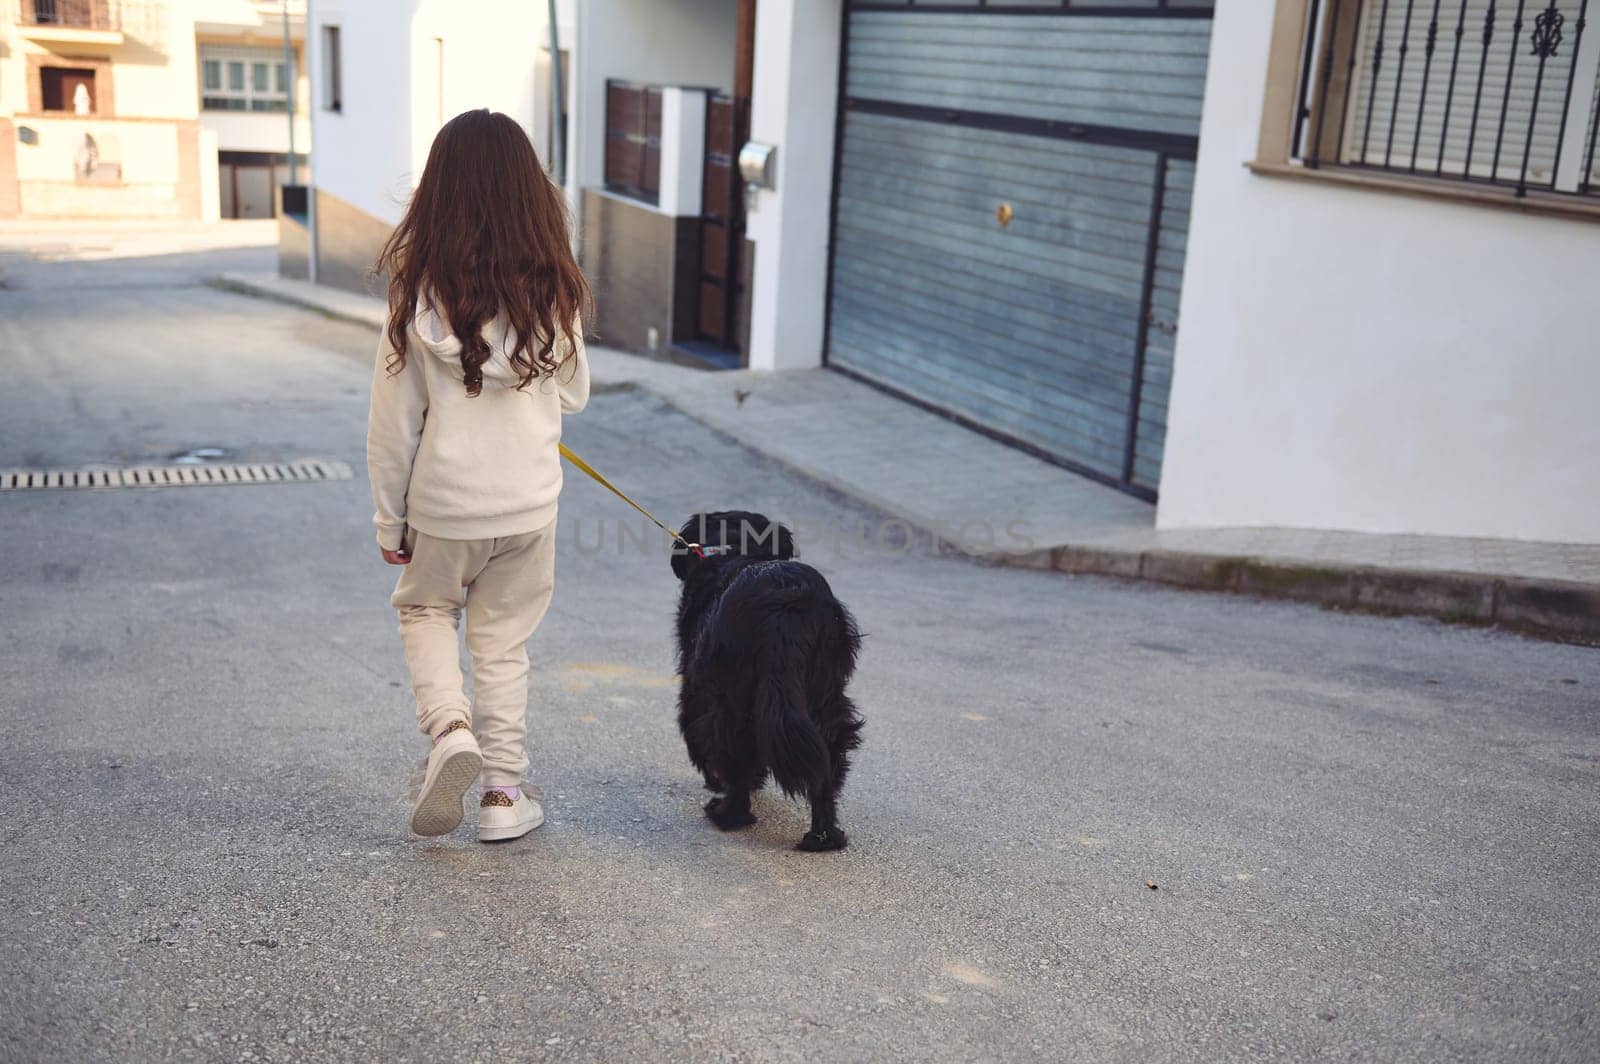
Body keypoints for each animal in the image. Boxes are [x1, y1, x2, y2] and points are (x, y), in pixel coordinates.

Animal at [665, 512, 864, 851]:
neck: (736, 547)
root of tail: (787, 603)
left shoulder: (694, 682)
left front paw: (713, 779)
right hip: (825, 696)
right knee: (827, 762)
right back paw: (823, 836)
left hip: (732, 698)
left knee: (735, 752)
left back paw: (727, 814)